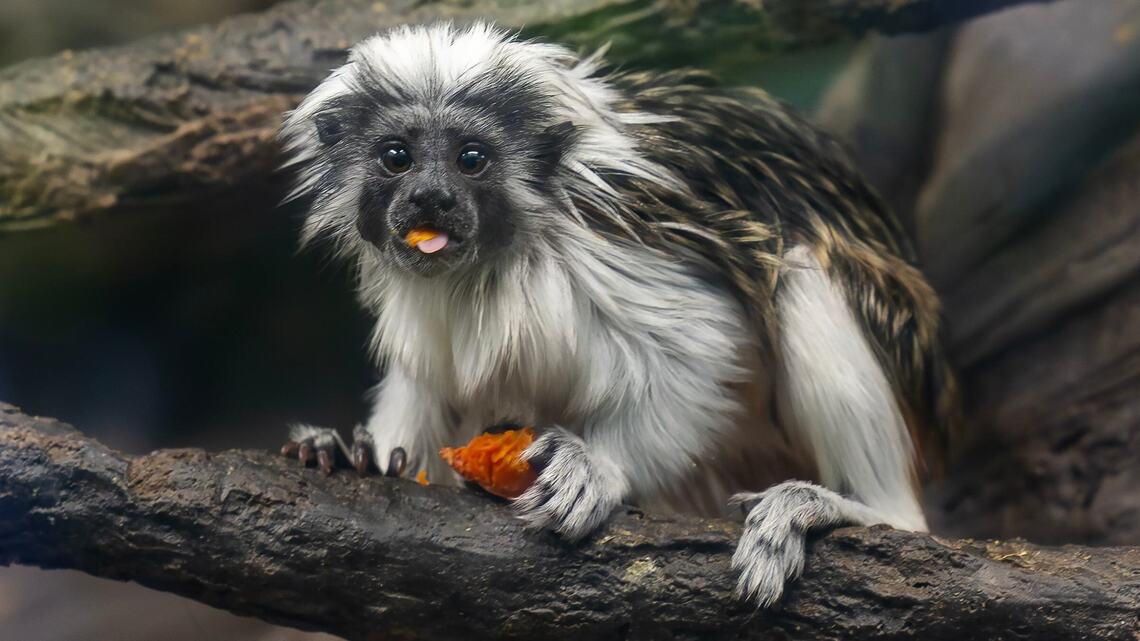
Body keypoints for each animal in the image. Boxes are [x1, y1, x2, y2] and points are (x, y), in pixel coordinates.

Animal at [278, 22, 959, 608]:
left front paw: (597, 469)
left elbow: (704, 347)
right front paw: (360, 455)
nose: (430, 198)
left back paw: (846, 508)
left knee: (803, 264)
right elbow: (428, 391)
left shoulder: (614, 245)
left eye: (471, 158)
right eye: (396, 156)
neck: (495, 264)